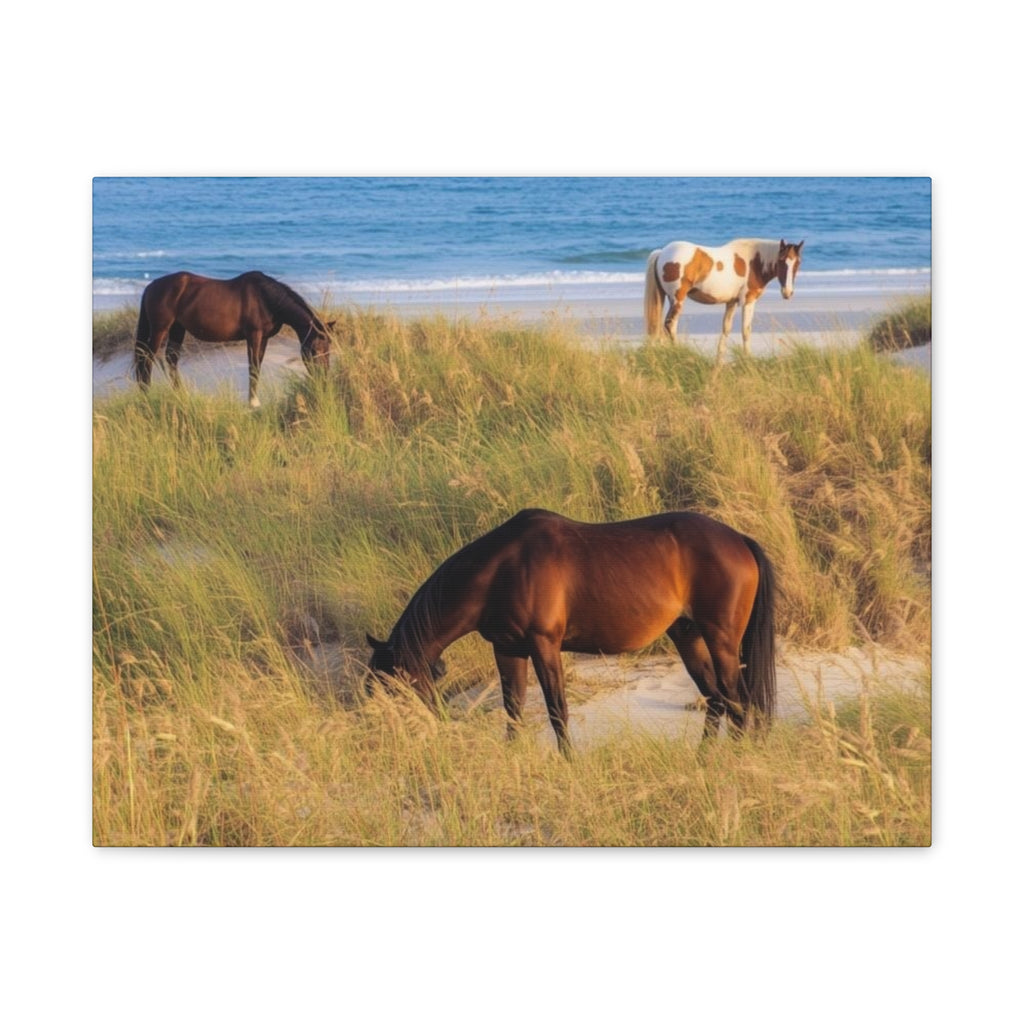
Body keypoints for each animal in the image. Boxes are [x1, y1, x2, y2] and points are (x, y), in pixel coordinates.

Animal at [134, 271, 333, 408]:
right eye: (315, 349)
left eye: (328, 349)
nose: (324, 378)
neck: (265, 298)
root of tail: (151, 286)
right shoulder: (254, 335)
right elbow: (252, 366)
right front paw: (253, 402)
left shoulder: (264, 338)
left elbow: (258, 366)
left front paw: (254, 400)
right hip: (160, 329)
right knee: (147, 358)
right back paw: (145, 394)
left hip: (177, 328)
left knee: (171, 358)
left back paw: (180, 394)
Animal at [366, 508, 777, 755]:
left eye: (391, 686)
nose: (381, 737)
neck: (501, 570)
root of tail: (740, 540)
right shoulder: (508, 649)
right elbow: (513, 709)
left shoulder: (544, 645)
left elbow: (556, 710)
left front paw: (569, 762)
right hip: (688, 636)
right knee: (717, 700)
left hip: (721, 639)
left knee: (738, 701)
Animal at [644, 239, 803, 365]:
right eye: (781, 261)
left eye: (797, 263)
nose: (787, 293)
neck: (754, 262)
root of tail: (661, 253)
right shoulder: (748, 301)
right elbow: (746, 331)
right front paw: (748, 359)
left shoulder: (731, 303)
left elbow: (726, 329)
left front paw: (719, 361)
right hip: (677, 300)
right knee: (670, 325)